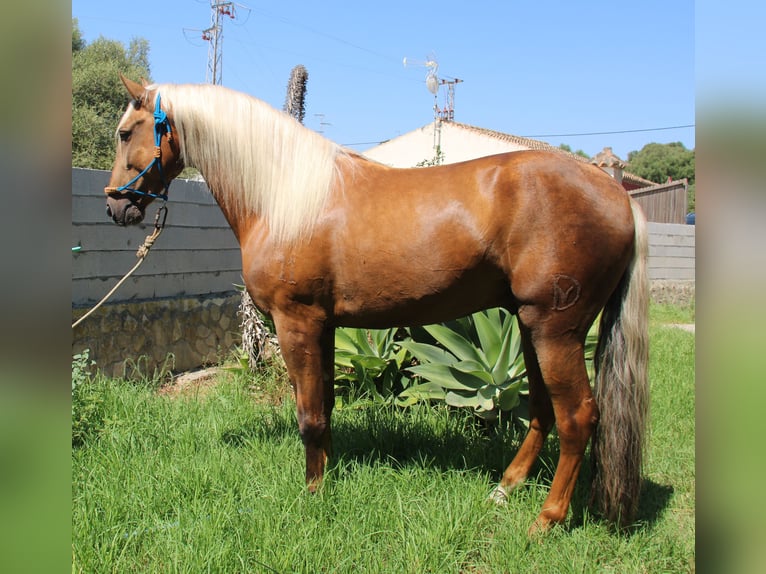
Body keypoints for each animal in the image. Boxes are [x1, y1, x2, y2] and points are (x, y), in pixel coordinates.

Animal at [105, 76, 652, 536]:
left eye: (126, 132)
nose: (115, 207)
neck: (287, 198)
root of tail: (617, 194)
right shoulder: (324, 327)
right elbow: (324, 406)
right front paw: (327, 475)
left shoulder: (296, 322)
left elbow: (308, 414)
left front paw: (313, 494)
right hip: (532, 326)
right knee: (542, 409)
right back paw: (506, 488)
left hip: (555, 331)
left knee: (578, 417)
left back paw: (546, 519)